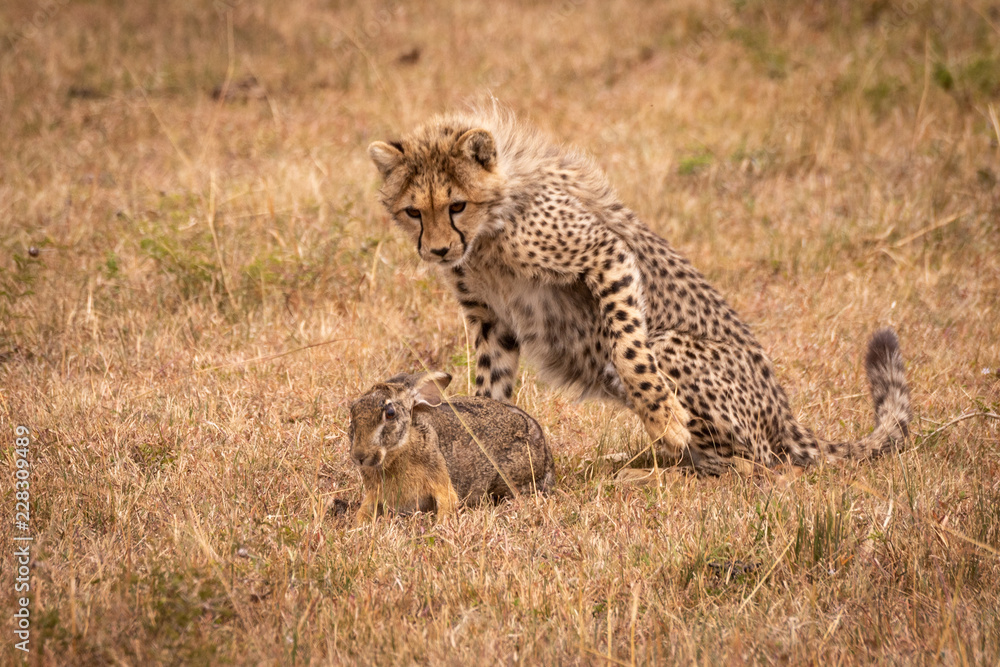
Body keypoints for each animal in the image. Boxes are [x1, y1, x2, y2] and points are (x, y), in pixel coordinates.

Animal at [348, 371, 555, 525]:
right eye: (352, 410)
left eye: (390, 413)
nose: (359, 456)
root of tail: (545, 454)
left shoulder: (440, 481)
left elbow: (447, 504)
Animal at [367, 103, 911, 475]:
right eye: (414, 211)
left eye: (456, 205)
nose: (438, 251)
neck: (486, 236)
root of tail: (784, 412)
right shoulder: (491, 319)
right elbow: (490, 387)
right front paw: (484, 443)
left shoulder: (605, 253)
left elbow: (627, 347)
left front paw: (665, 417)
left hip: (677, 350)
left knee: (758, 465)